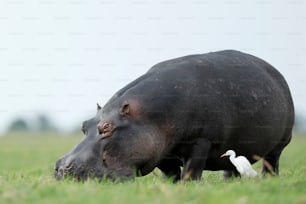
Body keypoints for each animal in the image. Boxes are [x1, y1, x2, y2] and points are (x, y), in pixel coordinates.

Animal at [55, 50, 294, 181]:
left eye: (107, 127)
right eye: (84, 125)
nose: (62, 168)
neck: (146, 117)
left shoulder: (201, 141)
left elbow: (191, 172)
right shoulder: (160, 152)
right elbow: (171, 175)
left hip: (278, 147)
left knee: (272, 164)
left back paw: (269, 180)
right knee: (231, 169)